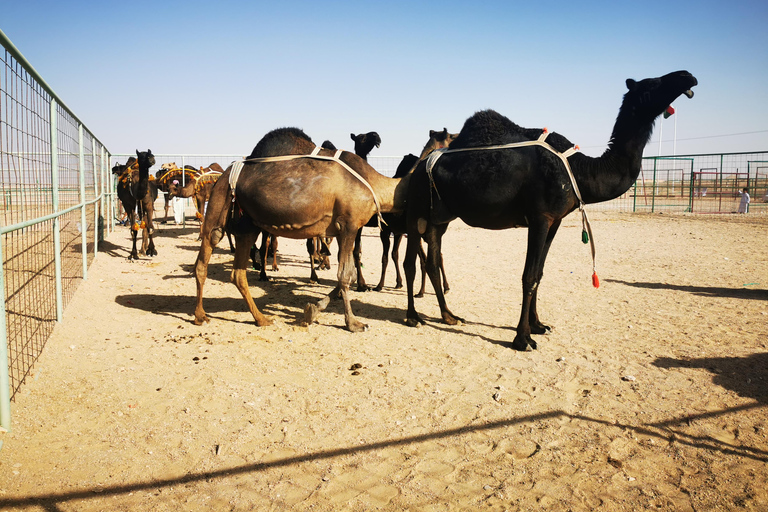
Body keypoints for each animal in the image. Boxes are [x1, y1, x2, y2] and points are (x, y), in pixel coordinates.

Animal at [194, 128, 408, 332]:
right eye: (362, 138)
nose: (377, 138)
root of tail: (222, 175)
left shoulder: (343, 230)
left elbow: (350, 273)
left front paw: (312, 310)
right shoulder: (349, 224)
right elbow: (345, 275)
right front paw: (353, 323)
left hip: (247, 225)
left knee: (237, 273)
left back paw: (261, 319)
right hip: (218, 203)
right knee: (204, 257)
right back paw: (200, 316)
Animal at [404, 70, 700, 352]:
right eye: (652, 83)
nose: (687, 75)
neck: (581, 172)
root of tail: (417, 169)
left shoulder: (555, 221)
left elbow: (540, 273)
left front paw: (538, 326)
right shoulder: (540, 217)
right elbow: (529, 275)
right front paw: (522, 339)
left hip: (440, 218)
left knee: (432, 260)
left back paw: (449, 316)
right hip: (416, 212)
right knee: (410, 262)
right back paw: (413, 317)